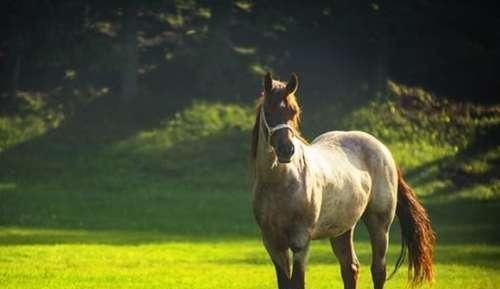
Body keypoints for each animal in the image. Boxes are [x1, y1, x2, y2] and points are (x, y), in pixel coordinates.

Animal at [250, 72, 434, 288]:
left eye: (294, 111)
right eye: (269, 109)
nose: (287, 150)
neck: (280, 183)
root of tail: (383, 149)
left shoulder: (300, 243)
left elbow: (297, 282)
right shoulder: (273, 244)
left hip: (379, 225)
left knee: (378, 271)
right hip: (341, 230)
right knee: (350, 268)